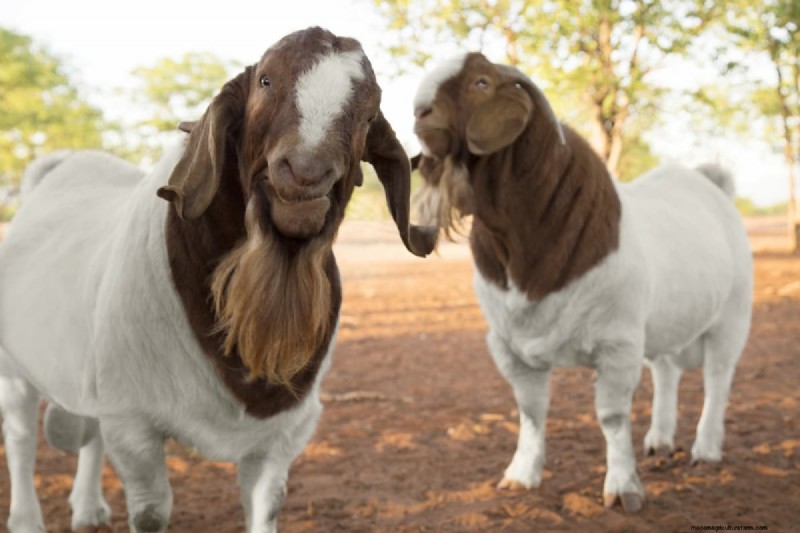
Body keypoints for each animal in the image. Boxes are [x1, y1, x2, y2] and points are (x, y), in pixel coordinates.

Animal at [0, 27, 436, 533]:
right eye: (265, 80)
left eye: (369, 113)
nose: (305, 173)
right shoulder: (133, 421)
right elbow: (150, 512)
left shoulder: (284, 434)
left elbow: (265, 505)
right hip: (15, 368)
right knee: (21, 437)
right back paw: (27, 518)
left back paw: (88, 509)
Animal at [411, 52, 753, 513]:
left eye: (481, 82)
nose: (419, 112)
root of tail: (710, 183)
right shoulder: (509, 347)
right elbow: (530, 410)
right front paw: (521, 476)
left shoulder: (617, 344)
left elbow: (612, 417)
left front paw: (623, 489)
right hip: (664, 321)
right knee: (666, 371)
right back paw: (660, 441)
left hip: (732, 317)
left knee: (718, 378)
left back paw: (706, 450)